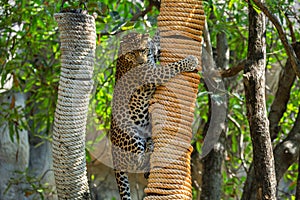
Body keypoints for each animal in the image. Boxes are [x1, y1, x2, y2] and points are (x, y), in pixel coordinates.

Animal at [109, 32, 197, 199]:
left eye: (142, 50)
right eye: (132, 53)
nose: (141, 62)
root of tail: (113, 155)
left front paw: (155, 37)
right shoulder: (153, 73)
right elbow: (172, 66)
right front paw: (190, 61)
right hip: (132, 134)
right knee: (137, 162)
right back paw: (150, 149)